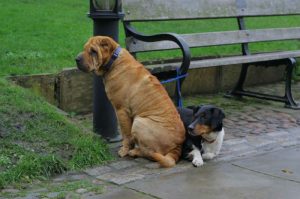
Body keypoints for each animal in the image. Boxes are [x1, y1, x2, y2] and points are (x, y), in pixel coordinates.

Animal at [75, 36, 185, 167]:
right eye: (85, 48)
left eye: (93, 51)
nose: (77, 59)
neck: (113, 60)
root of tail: (177, 146)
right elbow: (130, 136)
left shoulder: (121, 110)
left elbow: (126, 134)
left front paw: (124, 150)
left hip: (139, 121)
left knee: (150, 153)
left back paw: (134, 152)